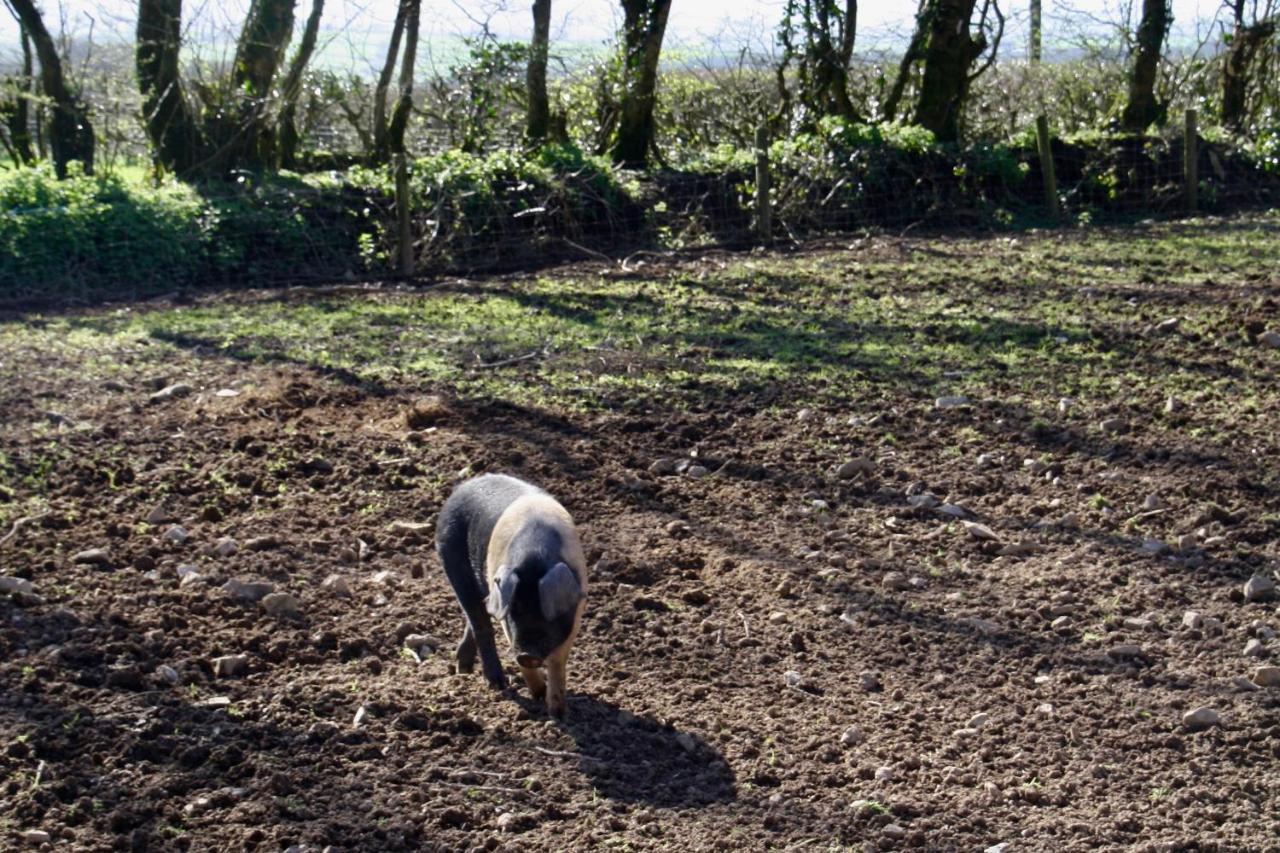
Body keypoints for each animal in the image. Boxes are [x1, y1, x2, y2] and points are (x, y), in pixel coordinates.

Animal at [432, 473, 586, 712]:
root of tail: (461, 487)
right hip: (452, 561)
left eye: (544, 611)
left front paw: (558, 711)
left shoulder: (576, 613)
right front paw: (538, 695)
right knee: (479, 621)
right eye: (515, 609)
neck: (535, 555)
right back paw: (494, 682)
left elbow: (557, 664)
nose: (527, 654)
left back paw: (465, 669)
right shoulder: (506, 620)